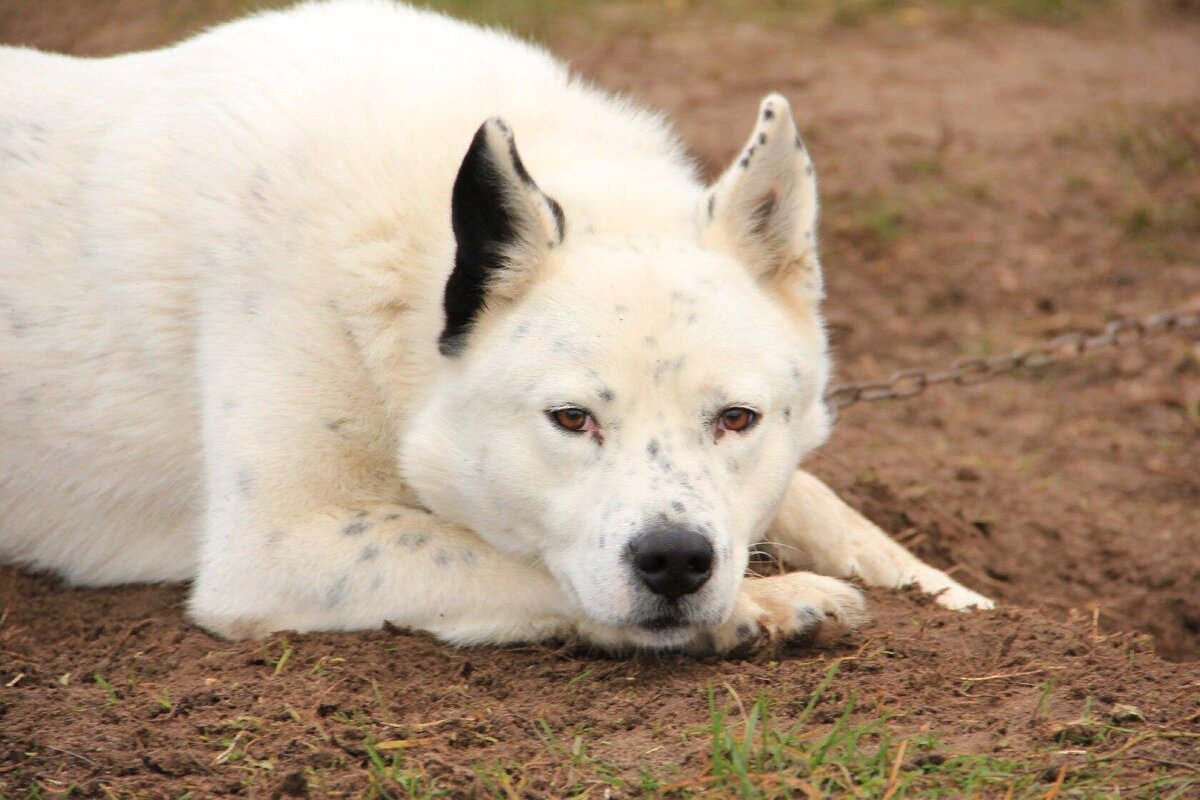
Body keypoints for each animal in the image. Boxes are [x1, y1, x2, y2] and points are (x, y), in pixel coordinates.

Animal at [0, 0, 988, 657]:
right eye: (571, 420)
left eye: (737, 420)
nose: (675, 562)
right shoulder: (278, 544)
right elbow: (513, 558)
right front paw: (769, 604)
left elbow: (824, 503)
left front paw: (956, 598)